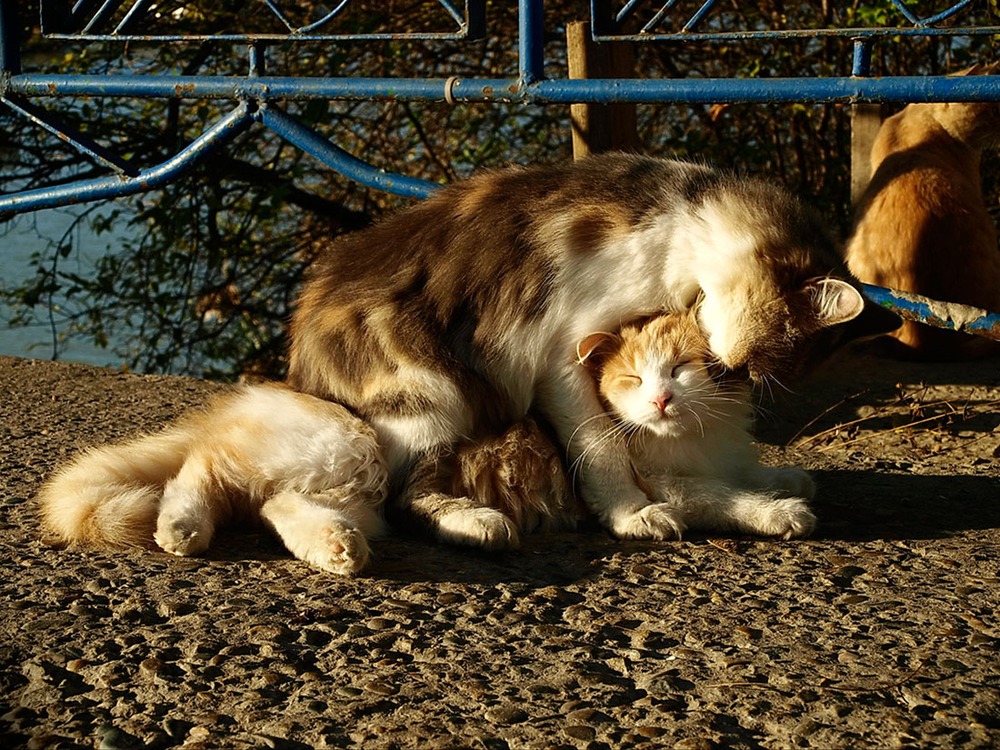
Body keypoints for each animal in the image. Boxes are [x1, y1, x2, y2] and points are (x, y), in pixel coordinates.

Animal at [36, 384, 386, 572]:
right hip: (332, 452)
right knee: (201, 470)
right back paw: (182, 530)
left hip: (354, 492)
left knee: (278, 506)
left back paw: (339, 546)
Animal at [576, 312, 816, 540]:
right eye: (634, 378)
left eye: (679, 367)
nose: (660, 399)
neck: (684, 439)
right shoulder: (661, 483)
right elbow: (723, 495)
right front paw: (776, 511)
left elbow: (742, 472)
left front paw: (783, 479)